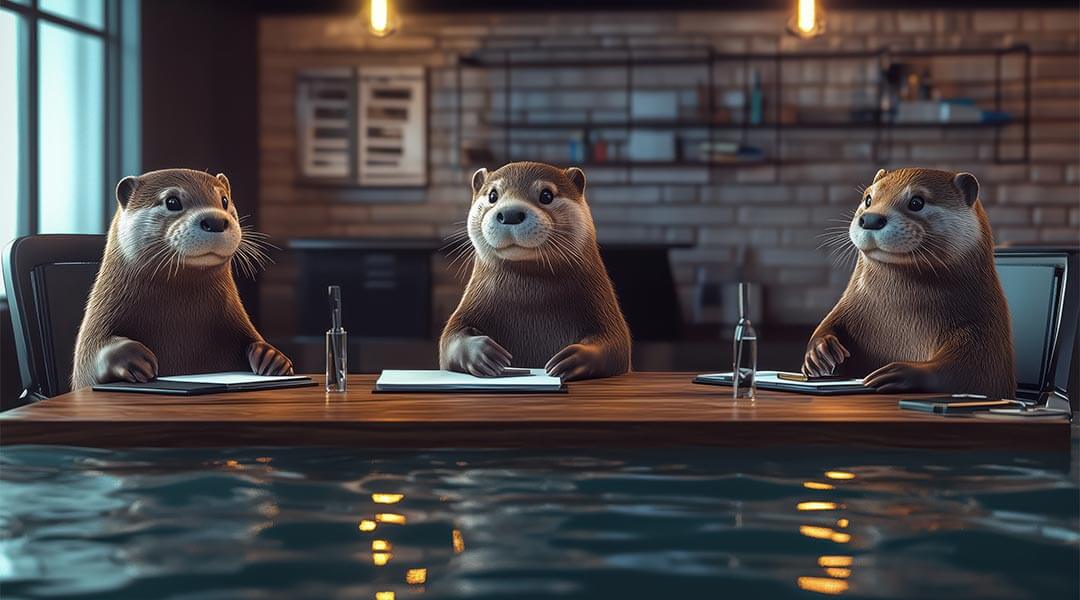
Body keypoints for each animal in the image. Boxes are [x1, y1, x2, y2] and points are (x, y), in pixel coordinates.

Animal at [72, 168, 293, 388]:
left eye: (224, 200)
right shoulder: (98, 323)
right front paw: (134, 357)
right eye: (172, 201)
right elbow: (89, 359)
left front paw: (271, 356)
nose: (215, 220)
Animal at [440, 161, 630, 382]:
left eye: (546, 195)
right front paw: (486, 354)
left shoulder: (601, 304)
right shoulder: (471, 304)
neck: (529, 298)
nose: (510, 214)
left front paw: (569, 359)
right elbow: (449, 340)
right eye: (493, 195)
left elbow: (616, 345)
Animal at [807, 167, 1015, 399]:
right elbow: (829, 322)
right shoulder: (846, 307)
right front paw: (820, 351)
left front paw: (900, 372)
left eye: (916, 202)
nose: (870, 219)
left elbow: (969, 371)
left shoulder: (982, 329)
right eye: (868, 199)